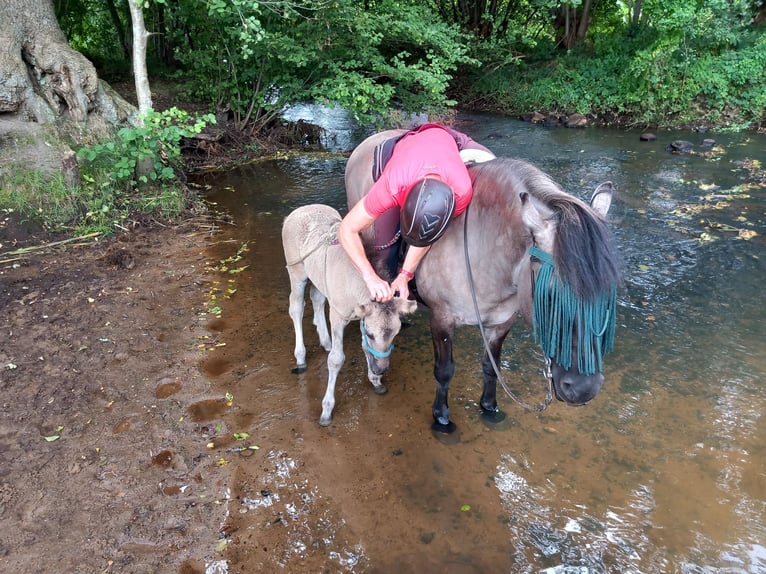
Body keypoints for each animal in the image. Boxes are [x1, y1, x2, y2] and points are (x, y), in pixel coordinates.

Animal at [282, 204, 417, 426]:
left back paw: (326, 342)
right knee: (296, 307)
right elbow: (337, 359)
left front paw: (375, 381)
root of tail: (298, 210)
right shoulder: (337, 315)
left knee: (316, 297)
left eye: (395, 334)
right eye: (372, 334)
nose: (382, 370)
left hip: (319, 278)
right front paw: (326, 410)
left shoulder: (362, 315)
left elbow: (364, 348)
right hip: (297, 272)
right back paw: (301, 357)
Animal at [345, 129, 620, 432]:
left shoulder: (501, 321)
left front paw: (489, 405)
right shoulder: (442, 318)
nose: (583, 389)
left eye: (608, 295)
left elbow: (491, 366)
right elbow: (444, 370)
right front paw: (441, 416)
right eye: (549, 294)